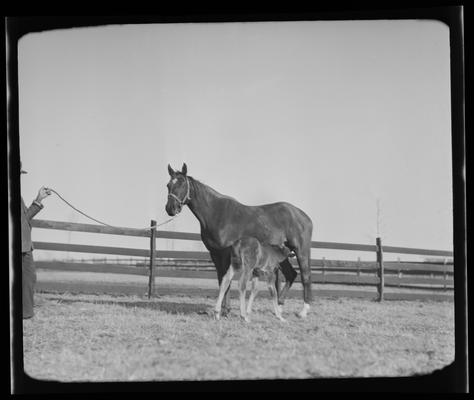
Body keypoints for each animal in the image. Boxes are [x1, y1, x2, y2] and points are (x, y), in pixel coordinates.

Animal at [165, 164, 312, 318]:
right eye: (168, 185)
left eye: (182, 184)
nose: (170, 208)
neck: (216, 214)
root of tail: (303, 216)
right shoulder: (215, 254)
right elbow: (221, 279)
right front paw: (224, 309)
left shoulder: (225, 254)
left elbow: (226, 280)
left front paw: (225, 310)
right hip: (282, 254)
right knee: (291, 274)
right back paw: (279, 307)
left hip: (301, 251)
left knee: (305, 276)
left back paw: (303, 311)